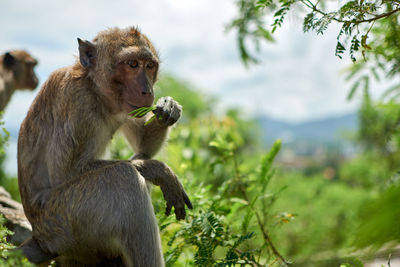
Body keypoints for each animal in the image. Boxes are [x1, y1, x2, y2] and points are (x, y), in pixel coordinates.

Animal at [18, 27, 192, 267]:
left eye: (149, 65)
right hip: (63, 221)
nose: (147, 91)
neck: (95, 90)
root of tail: (39, 236)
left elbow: (142, 142)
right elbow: (66, 173)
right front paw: (161, 170)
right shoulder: (77, 102)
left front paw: (169, 107)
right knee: (123, 176)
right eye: (132, 64)